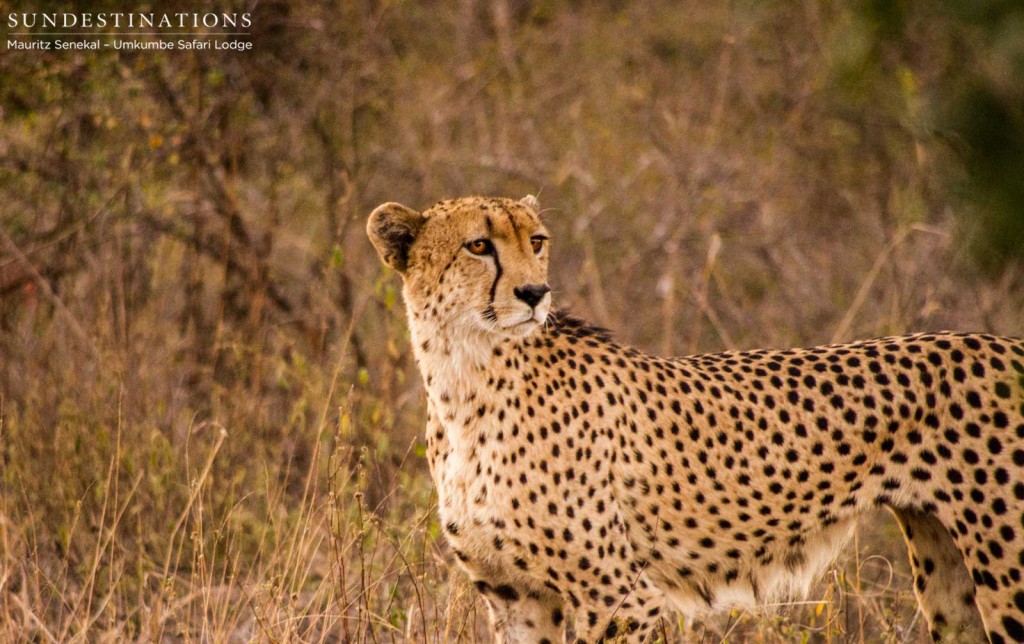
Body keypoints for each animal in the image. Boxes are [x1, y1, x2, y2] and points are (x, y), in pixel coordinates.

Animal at [368, 195, 1024, 642]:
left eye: (537, 241)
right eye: (478, 246)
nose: (535, 293)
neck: (465, 380)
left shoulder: (620, 598)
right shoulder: (516, 599)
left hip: (1007, 570)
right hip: (947, 575)